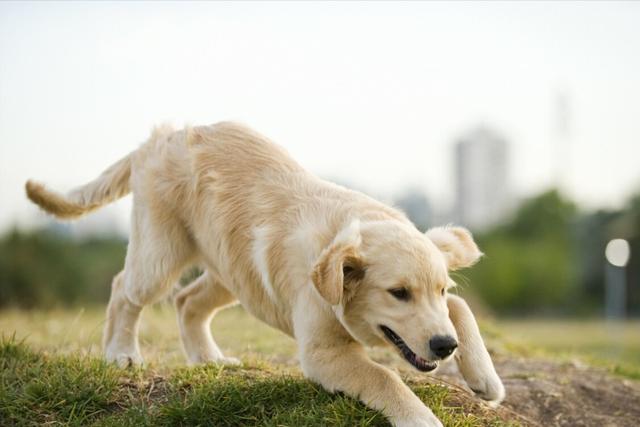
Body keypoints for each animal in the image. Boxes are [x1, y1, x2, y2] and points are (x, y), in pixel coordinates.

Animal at [26, 122, 504, 426]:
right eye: (398, 293)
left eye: (438, 288)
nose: (444, 347)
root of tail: (164, 135)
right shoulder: (323, 353)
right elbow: (384, 376)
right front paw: (421, 417)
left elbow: (460, 307)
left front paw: (485, 377)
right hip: (160, 255)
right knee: (124, 290)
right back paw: (121, 352)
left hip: (232, 274)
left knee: (186, 301)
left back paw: (209, 359)